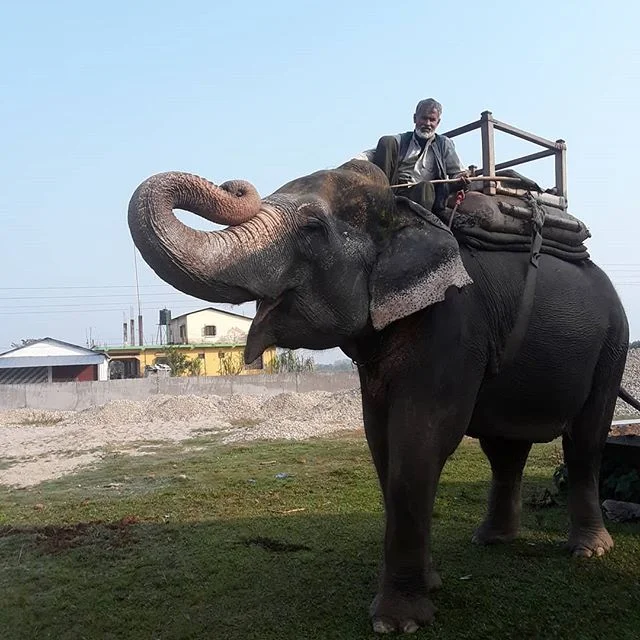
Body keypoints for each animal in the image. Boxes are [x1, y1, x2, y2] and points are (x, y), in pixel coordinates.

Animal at [128, 160, 638, 634]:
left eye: (312, 228)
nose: (234, 185)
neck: (405, 211)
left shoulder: (454, 325)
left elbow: (421, 438)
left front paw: (397, 622)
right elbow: (381, 441)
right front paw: (428, 584)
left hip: (613, 343)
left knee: (585, 441)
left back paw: (588, 551)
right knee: (504, 449)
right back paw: (492, 540)